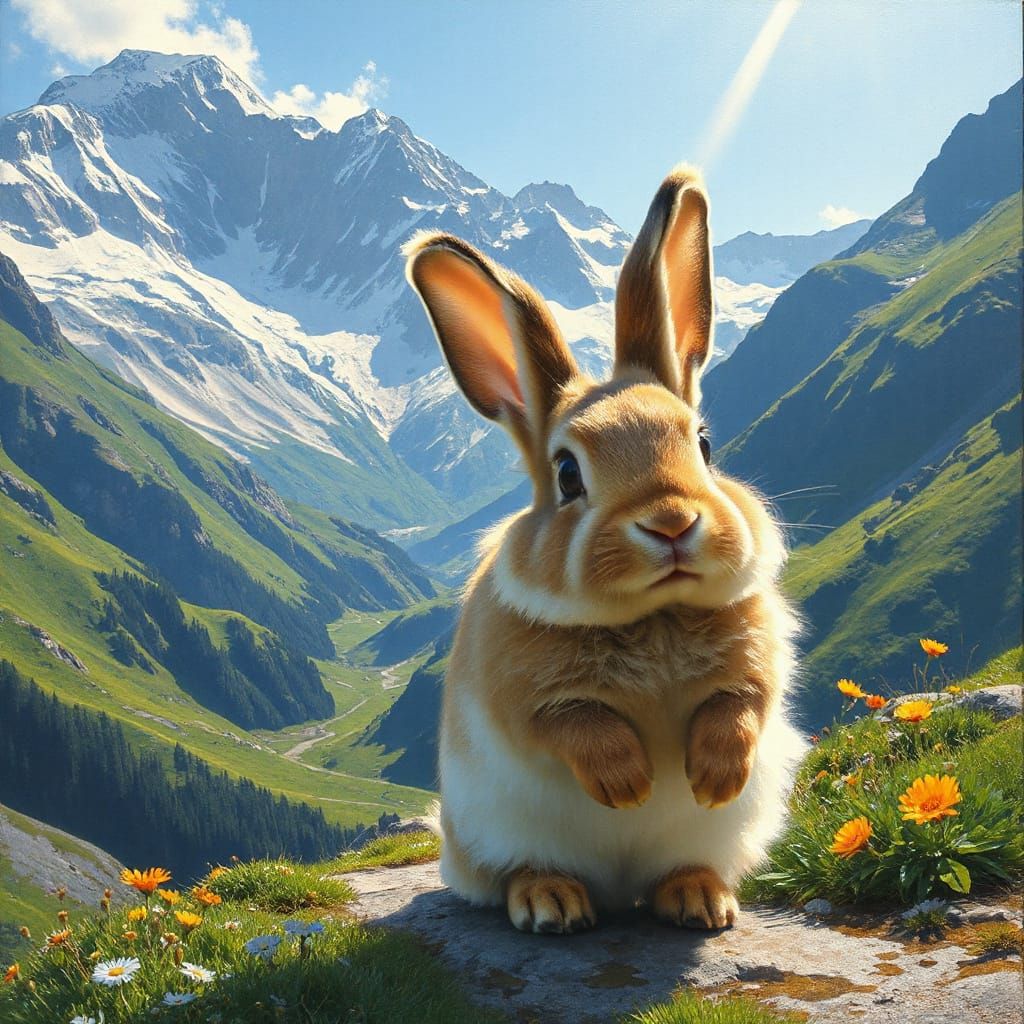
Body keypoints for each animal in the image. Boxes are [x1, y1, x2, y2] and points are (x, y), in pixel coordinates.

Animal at [403, 165, 804, 935]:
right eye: (567, 474)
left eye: (704, 444)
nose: (672, 523)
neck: (655, 617)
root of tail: (620, 894)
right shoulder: (519, 696)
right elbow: (573, 723)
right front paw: (630, 784)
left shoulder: (757, 660)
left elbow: (741, 704)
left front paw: (713, 777)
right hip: (492, 833)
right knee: (519, 871)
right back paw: (551, 903)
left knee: (678, 869)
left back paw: (701, 899)